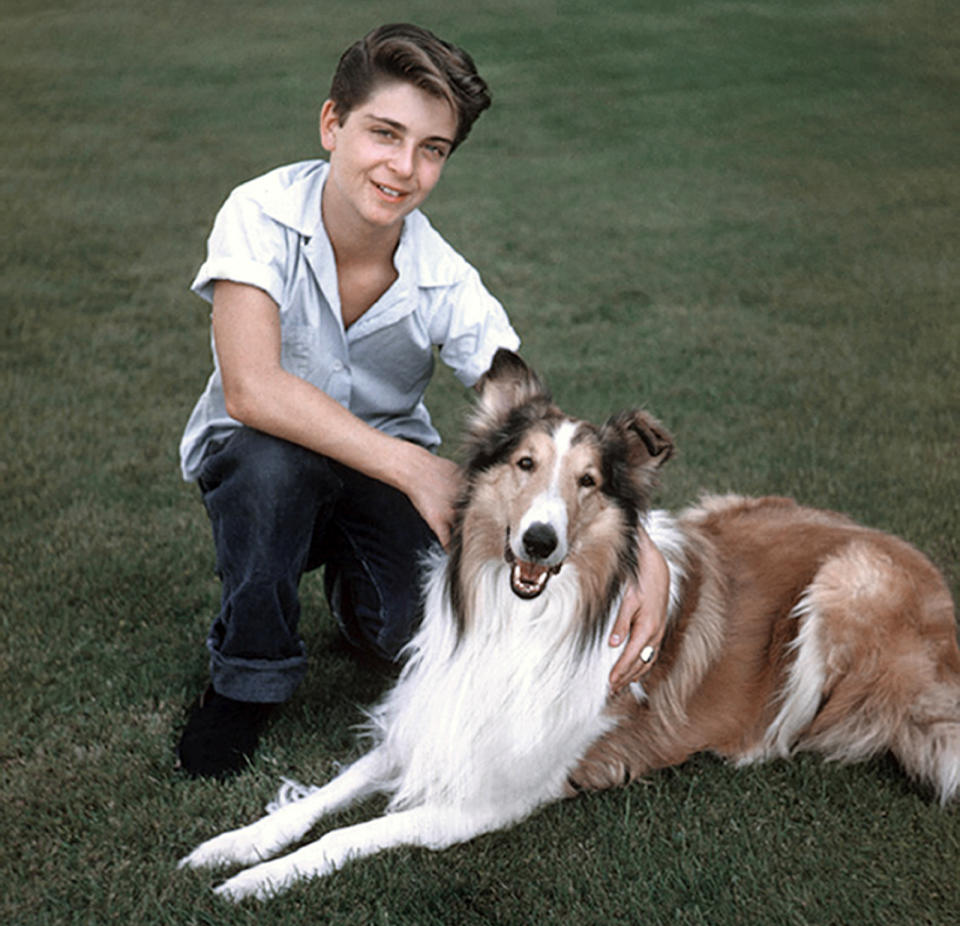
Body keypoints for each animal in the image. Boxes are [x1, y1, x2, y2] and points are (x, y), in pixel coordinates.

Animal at [176, 348, 956, 900]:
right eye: (525, 463)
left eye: (588, 482)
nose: (540, 542)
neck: (524, 622)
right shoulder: (430, 723)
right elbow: (324, 798)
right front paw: (234, 846)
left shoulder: (490, 797)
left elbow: (351, 834)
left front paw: (258, 881)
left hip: (845, 584)